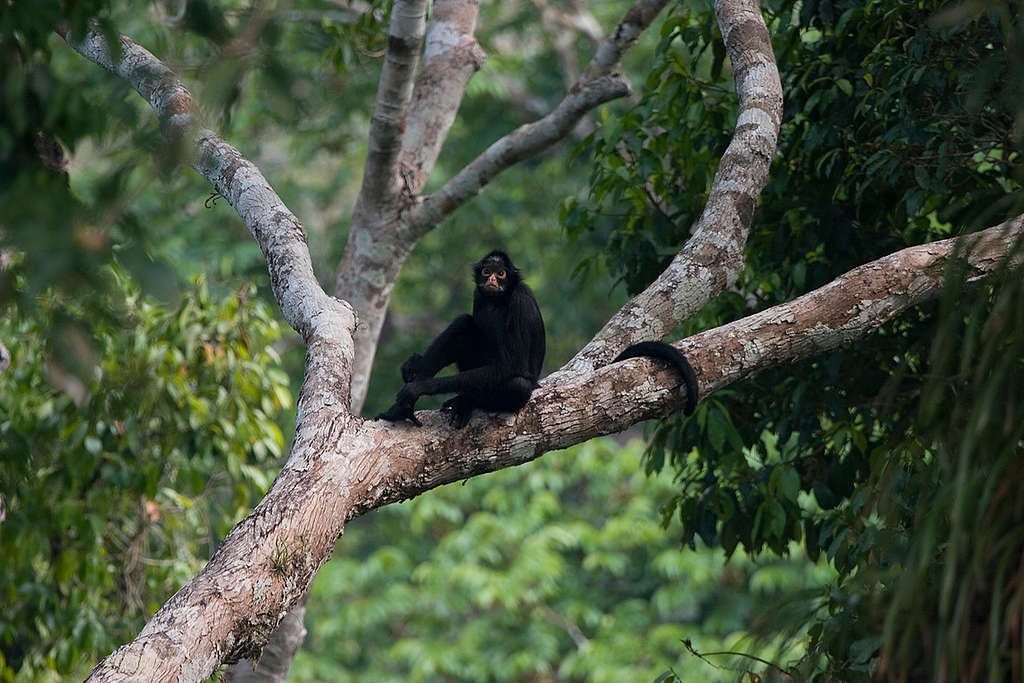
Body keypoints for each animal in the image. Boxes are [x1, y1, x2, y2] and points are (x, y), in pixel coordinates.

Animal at [376, 250, 548, 428]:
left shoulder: (519, 300)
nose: (492, 279)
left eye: (501, 273)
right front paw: (414, 363)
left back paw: (466, 400)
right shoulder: (478, 295)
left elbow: (513, 364)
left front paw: (420, 387)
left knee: (518, 386)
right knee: (463, 324)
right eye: (487, 271)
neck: (498, 299)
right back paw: (401, 411)